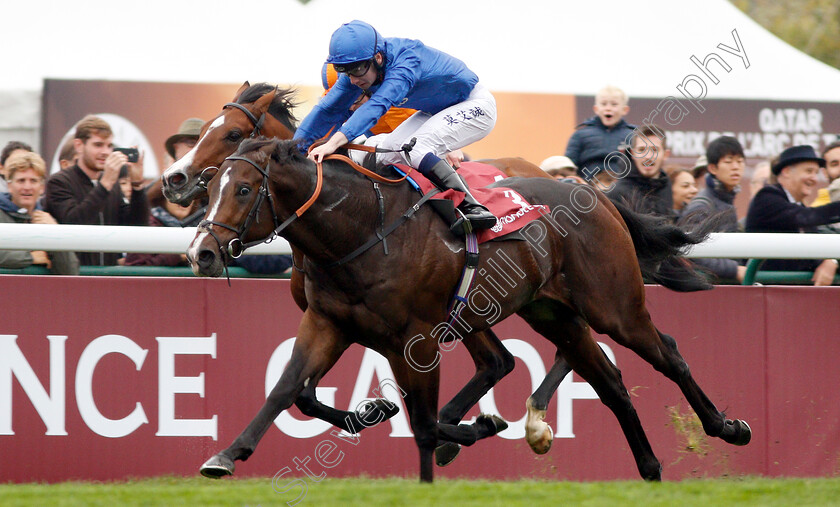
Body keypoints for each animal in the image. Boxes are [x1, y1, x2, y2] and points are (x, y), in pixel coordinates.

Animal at [187, 138, 752, 480]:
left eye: (243, 188)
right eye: (210, 188)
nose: (201, 253)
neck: (360, 227)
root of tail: (597, 194)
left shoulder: (414, 339)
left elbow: (423, 421)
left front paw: (456, 439)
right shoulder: (331, 323)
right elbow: (289, 390)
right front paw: (227, 455)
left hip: (614, 306)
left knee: (667, 354)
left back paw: (727, 428)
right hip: (552, 313)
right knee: (608, 382)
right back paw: (649, 467)